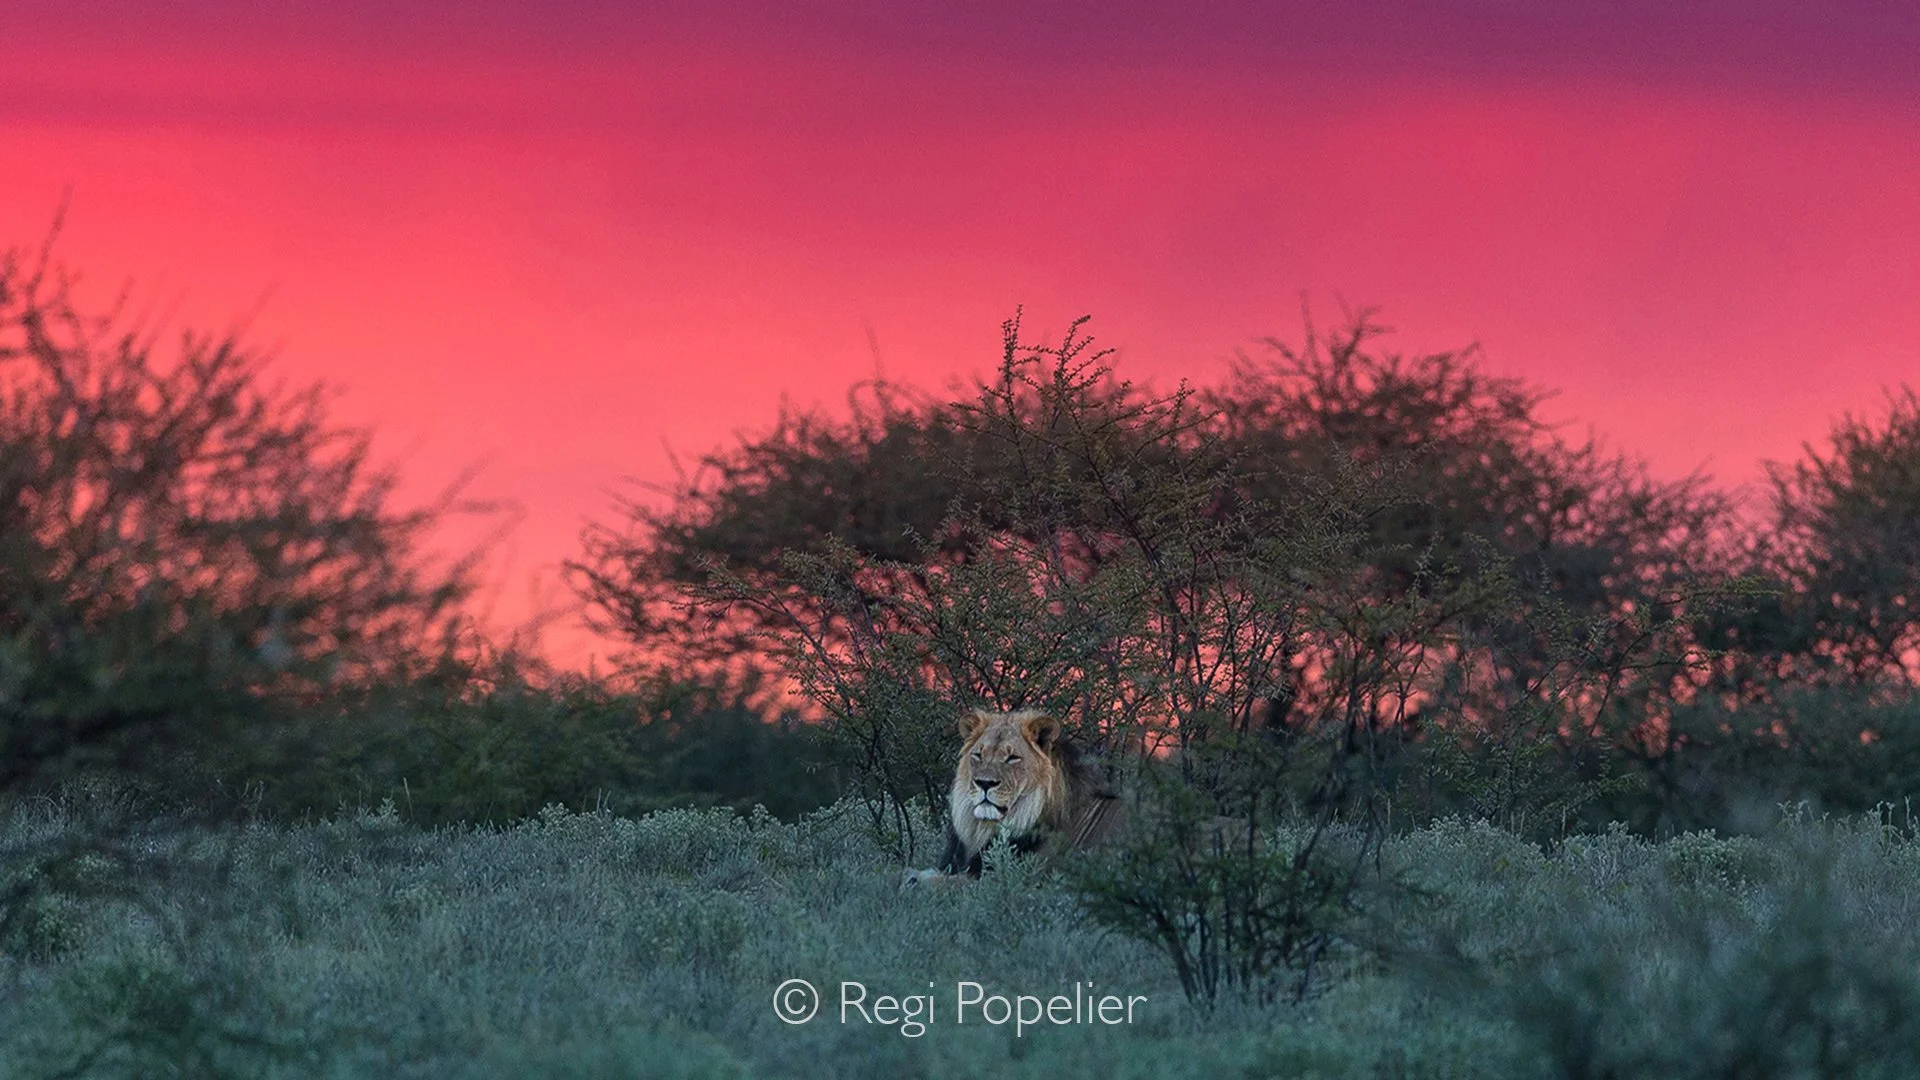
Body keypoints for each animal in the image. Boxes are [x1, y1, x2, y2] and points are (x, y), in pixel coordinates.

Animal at [902, 708, 1125, 887]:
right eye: (978, 755)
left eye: (1012, 758)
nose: (984, 783)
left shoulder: (1006, 878)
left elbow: (948, 883)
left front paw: (915, 879)